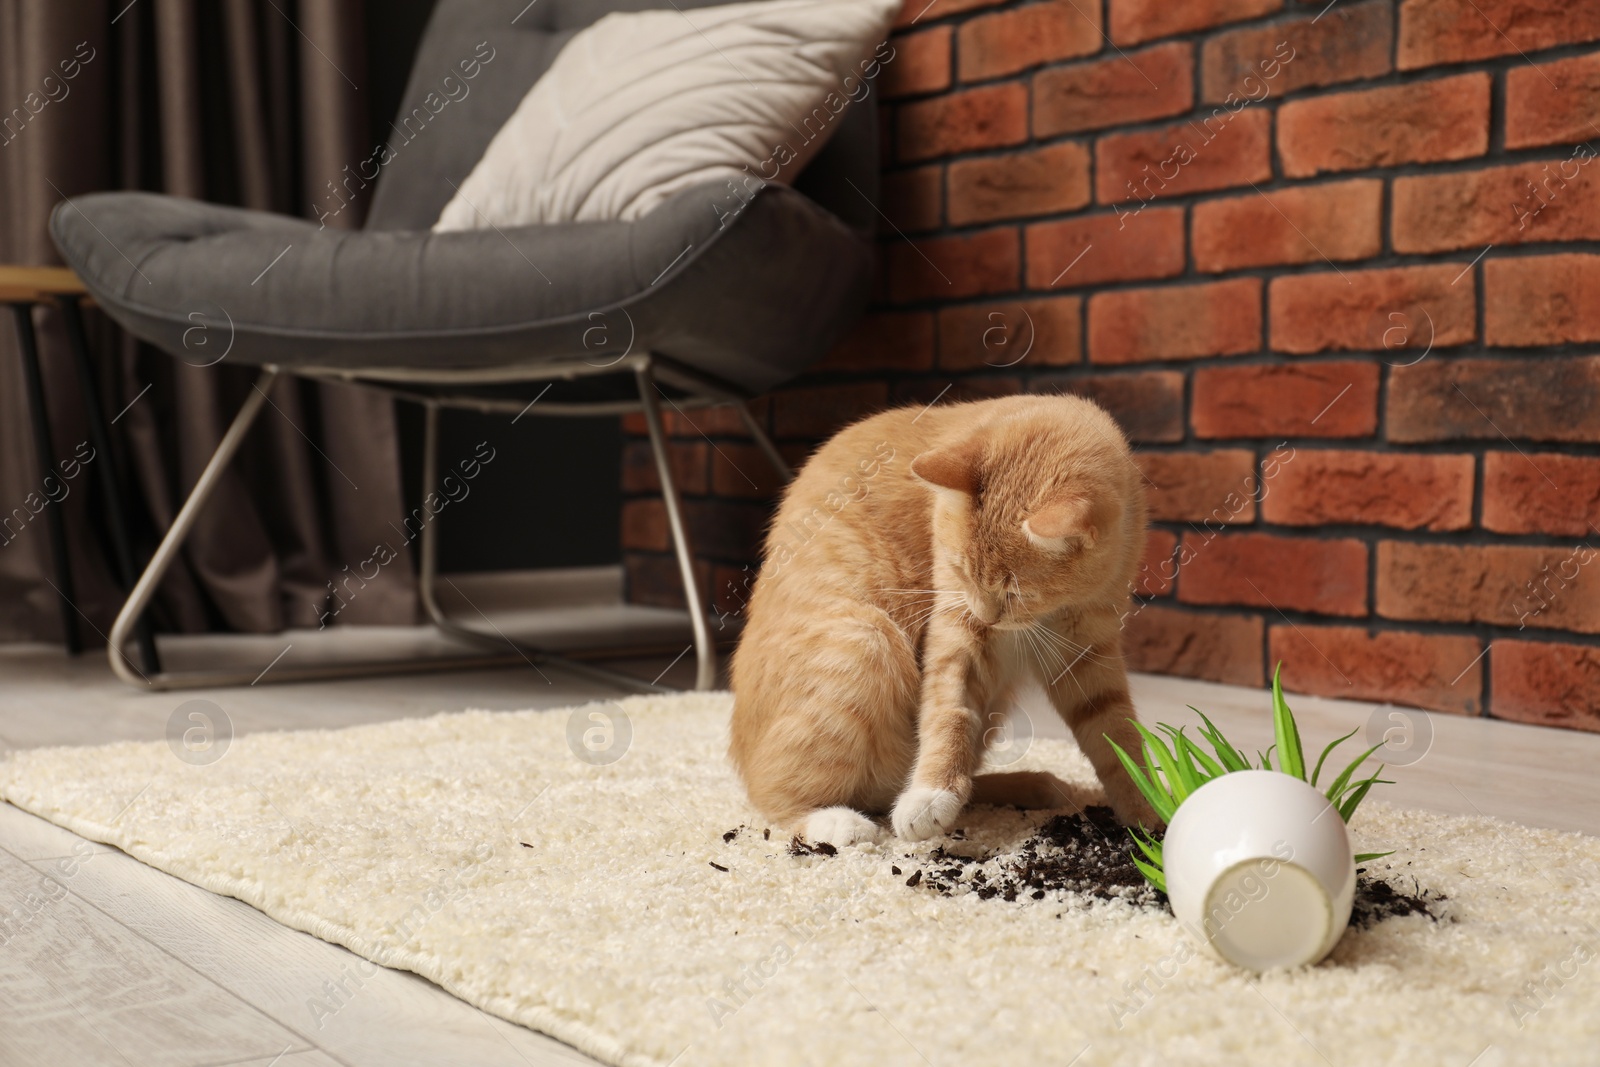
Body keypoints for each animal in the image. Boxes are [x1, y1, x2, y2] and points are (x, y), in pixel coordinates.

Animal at [732, 396, 1158, 844]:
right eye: (959, 568)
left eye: (1018, 593)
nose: (986, 617)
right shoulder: (957, 632)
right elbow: (950, 714)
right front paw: (930, 795)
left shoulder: (1088, 648)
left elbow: (1117, 736)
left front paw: (1149, 812)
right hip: (866, 641)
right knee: (775, 796)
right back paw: (836, 820)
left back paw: (1027, 786)